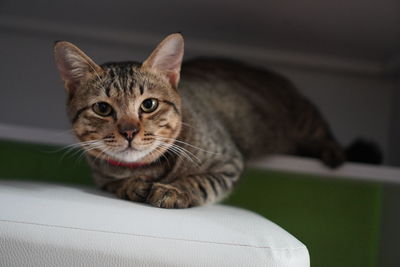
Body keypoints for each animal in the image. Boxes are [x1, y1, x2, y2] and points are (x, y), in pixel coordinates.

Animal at [54, 33, 346, 209]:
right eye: (102, 108)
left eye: (149, 105)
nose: (129, 132)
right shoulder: (102, 177)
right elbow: (114, 182)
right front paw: (130, 185)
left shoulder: (229, 162)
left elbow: (200, 181)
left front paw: (173, 190)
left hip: (305, 120)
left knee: (324, 134)